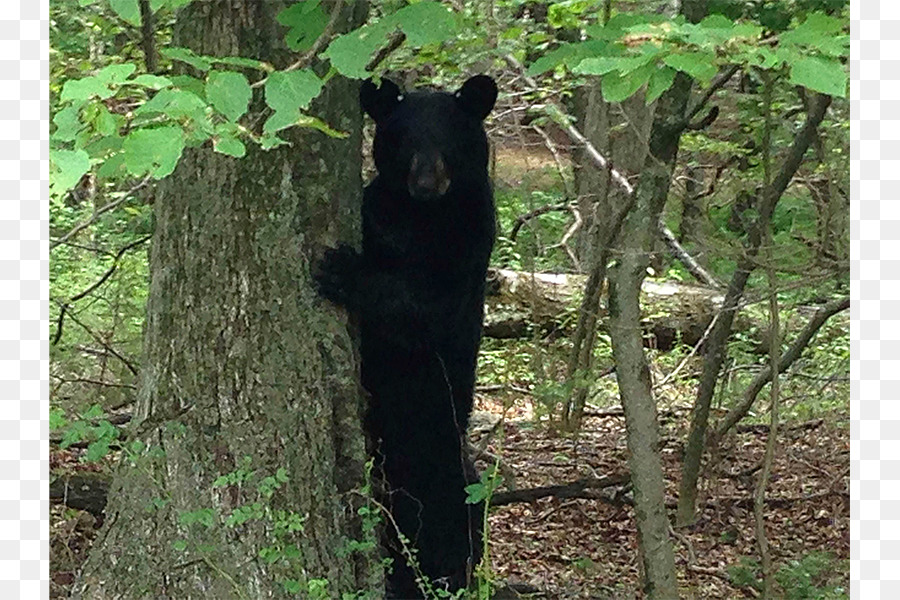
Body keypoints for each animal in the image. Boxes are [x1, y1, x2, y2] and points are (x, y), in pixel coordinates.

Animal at [314, 76, 500, 600]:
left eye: (451, 138)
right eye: (404, 140)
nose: (426, 183)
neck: (423, 218)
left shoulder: (469, 239)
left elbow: (422, 308)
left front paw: (341, 270)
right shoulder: (379, 210)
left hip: (444, 472)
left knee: (453, 528)